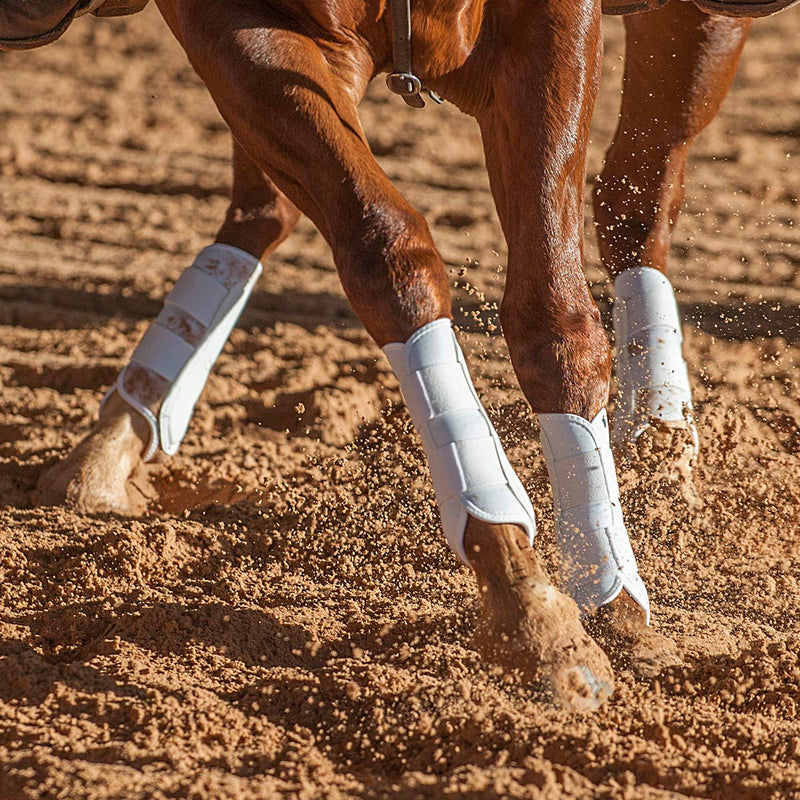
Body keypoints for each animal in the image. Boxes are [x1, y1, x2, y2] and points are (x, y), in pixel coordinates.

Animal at [8, 0, 765, 710]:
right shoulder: (245, 37)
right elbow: (387, 253)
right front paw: (525, 600)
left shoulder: (548, 31)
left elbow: (556, 316)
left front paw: (611, 598)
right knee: (266, 211)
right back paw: (114, 439)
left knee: (640, 204)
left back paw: (665, 448)